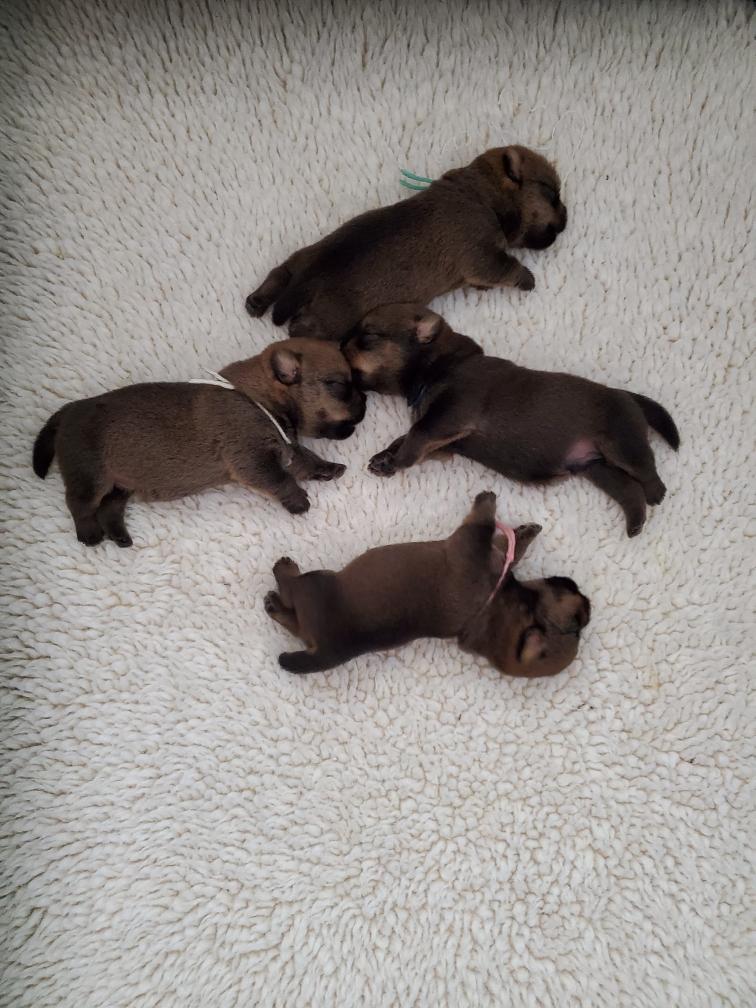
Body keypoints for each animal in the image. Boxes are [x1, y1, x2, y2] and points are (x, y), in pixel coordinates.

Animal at [33, 338, 366, 546]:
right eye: (338, 386)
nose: (365, 398)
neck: (259, 398)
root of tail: (69, 410)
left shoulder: (287, 448)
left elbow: (307, 460)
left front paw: (327, 468)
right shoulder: (253, 460)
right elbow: (282, 480)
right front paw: (298, 500)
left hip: (120, 485)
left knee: (109, 508)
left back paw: (120, 536)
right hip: (91, 477)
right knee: (79, 504)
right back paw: (89, 533)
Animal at [246, 145, 566, 341]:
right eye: (552, 195)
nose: (566, 218)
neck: (482, 193)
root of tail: (308, 279)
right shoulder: (483, 255)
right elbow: (506, 267)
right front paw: (527, 278)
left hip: (300, 257)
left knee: (279, 272)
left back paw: (256, 301)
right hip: (331, 322)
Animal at [264, 491, 590, 676]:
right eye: (578, 620)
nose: (585, 600)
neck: (496, 605)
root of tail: (328, 651)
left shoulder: (469, 543)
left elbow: (481, 522)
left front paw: (487, 500)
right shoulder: (491, 555)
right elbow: (509, 548)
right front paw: (525, 532)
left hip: (316, 583)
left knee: (292, 592)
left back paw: (284, 571)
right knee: (292, 621)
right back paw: (274, 605)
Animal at [343, 305, 680, 536]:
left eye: (368, 337)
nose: (339, 347)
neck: (437, 366)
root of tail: (628, 396)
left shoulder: (450, 415)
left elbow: (414, 435)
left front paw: (396, 461)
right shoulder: (444, 443)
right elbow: (406, 439)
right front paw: (385, 457)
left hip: (622, 445)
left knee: (645, 471)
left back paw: (656, 494)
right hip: (596, 468)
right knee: (628, 490)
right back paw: (635, 524)